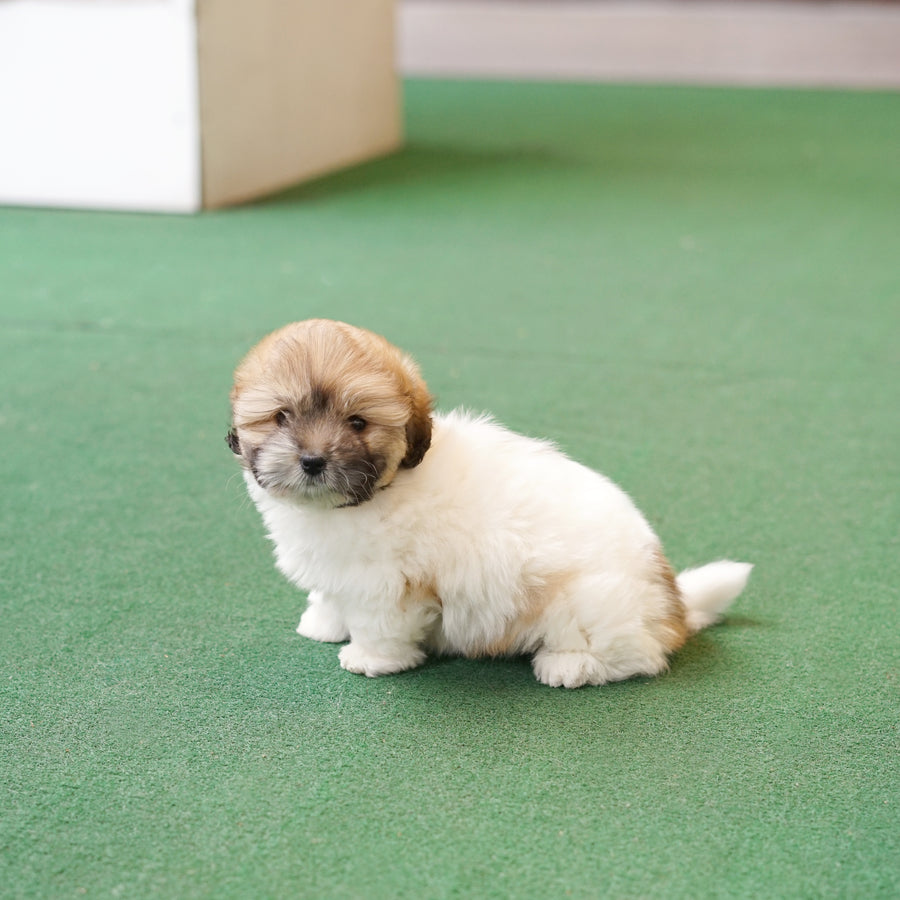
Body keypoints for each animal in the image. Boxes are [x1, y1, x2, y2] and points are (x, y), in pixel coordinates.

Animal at [227, 322, 752, 688]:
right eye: (281, 417)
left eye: (357, 422)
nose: (313, 461)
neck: (382, 489)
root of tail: (672, 604)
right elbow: (332, 595)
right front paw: (324, 622)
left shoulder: (389, 584)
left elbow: (381, 623)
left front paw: (372, 658)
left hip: (586, 603)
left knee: (638, 655)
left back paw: (569, 666)